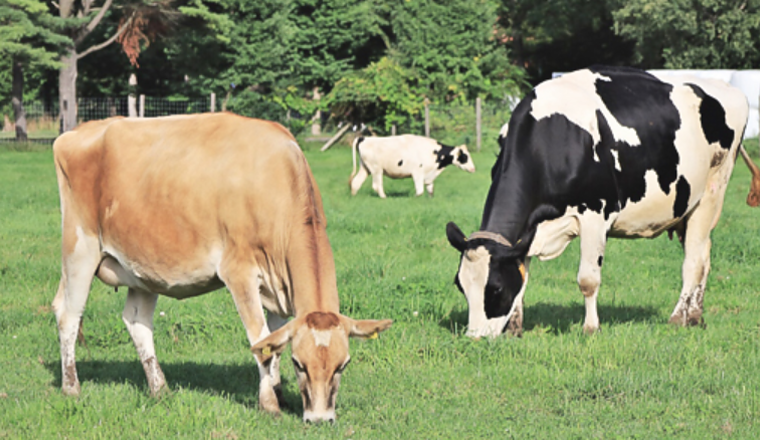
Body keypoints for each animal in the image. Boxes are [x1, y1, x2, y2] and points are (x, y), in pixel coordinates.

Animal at [52, 113, 392, 422]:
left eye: (343, 364)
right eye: (299, 364)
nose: (320, 419)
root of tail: (78, 131)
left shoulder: (278, 286)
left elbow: (275, 342)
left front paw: (279, 395)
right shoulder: (239, 272)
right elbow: (260, 342)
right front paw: (269, 405)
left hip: (142, 268)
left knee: (137, 322)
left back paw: (160, 389)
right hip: (80, 248)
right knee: (68, 313)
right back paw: (71, 388)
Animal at [446, 65, 760, 338]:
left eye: (496, 289)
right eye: (460, 286)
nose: (475, 338)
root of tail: (725, 87)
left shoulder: (596, 214)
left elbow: (588, 279)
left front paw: (590, 328)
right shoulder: (529, 230)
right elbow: (523, 277)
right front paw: (514, 328)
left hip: (712, 190)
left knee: (694, 260)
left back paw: (676, 318)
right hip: (687, 208)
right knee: (705, 255)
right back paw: (694, 317)